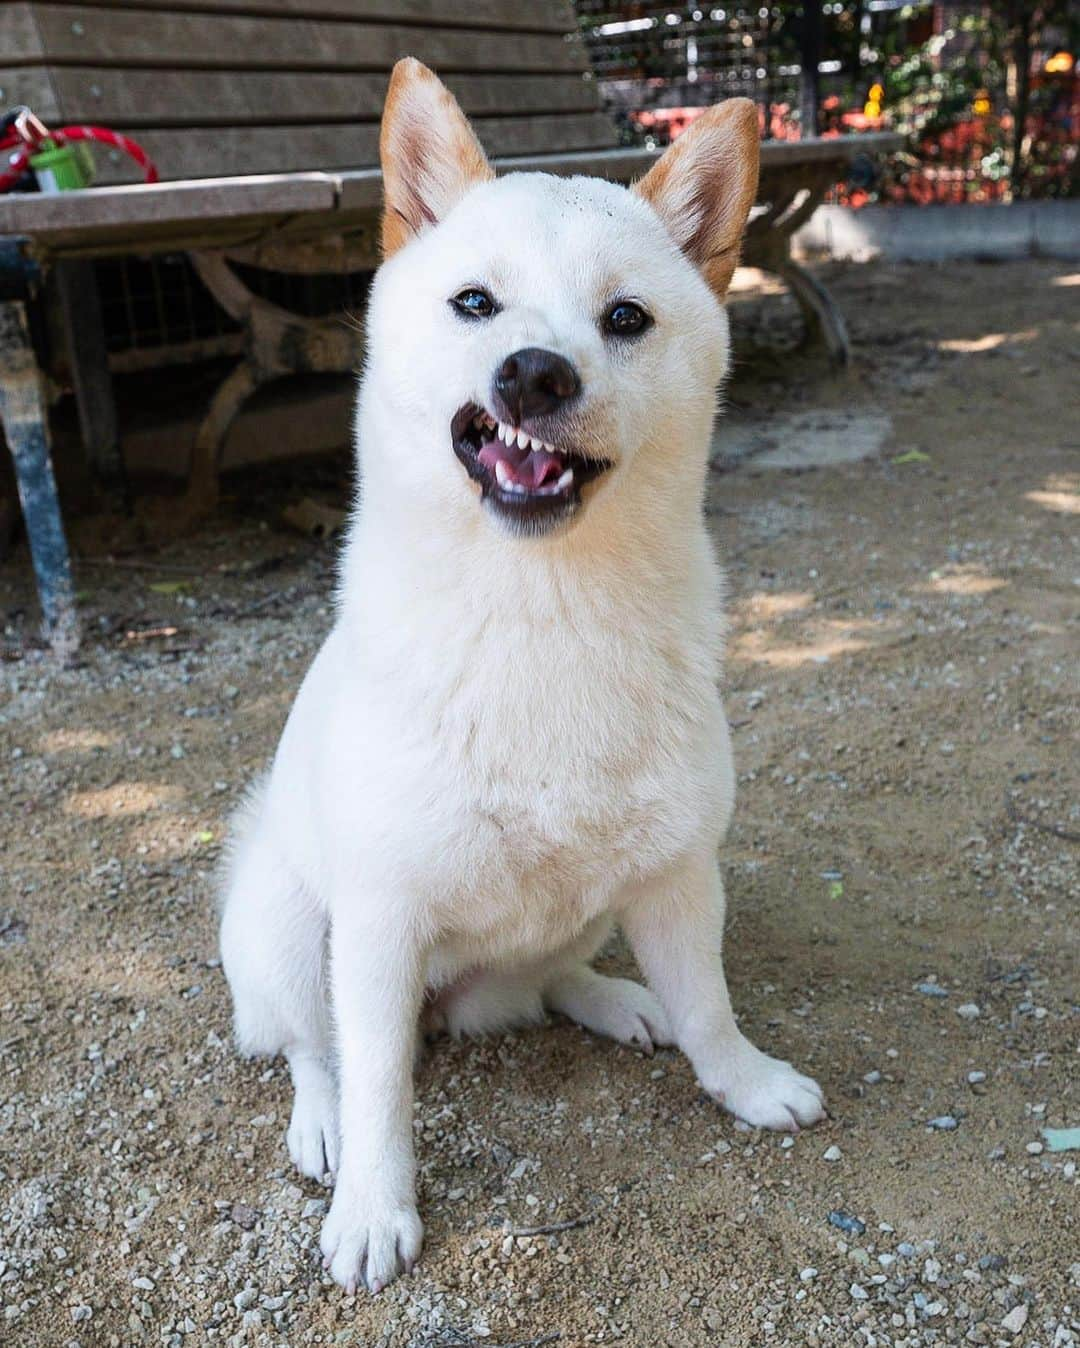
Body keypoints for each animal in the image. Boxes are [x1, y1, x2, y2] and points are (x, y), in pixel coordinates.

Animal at [218, 60, 825, 1294]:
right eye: (475, 304)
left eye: (625, 317)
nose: (535, 373)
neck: (542, 614)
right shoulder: (380, 919)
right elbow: (381, 1090)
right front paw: (374, 1205)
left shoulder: (681, 873)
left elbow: (711, 1005)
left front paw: (742, 1079)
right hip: (291, 925)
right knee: (315, 1048)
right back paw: (322, 1124)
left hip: (578, 914)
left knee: (546, 981)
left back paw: (614, 999)